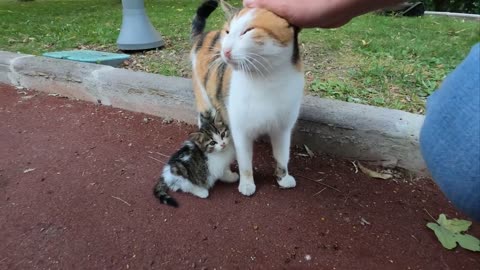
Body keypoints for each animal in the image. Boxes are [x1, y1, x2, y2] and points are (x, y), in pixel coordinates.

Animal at [188, 0, 304, 195]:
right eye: (227, 32)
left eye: (248, 31)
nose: (225, 50)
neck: (267, 80)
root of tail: (203, 35)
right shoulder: (240, 130)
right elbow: (245, 162)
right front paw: (247, 184)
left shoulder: (282, 128)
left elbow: (282, 156)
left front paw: (283, 177)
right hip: (204, 98)